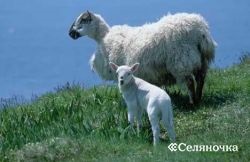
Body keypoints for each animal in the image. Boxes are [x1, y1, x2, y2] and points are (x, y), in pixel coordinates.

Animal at [69, 10, 217, 104]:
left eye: (83, 20)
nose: (70, 33)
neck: (103, 37)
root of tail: (200, 30)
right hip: (201, 60)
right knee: (201, 79)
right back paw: (199, 98)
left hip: (181, 61)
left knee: (190, 82)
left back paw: (192, 102)